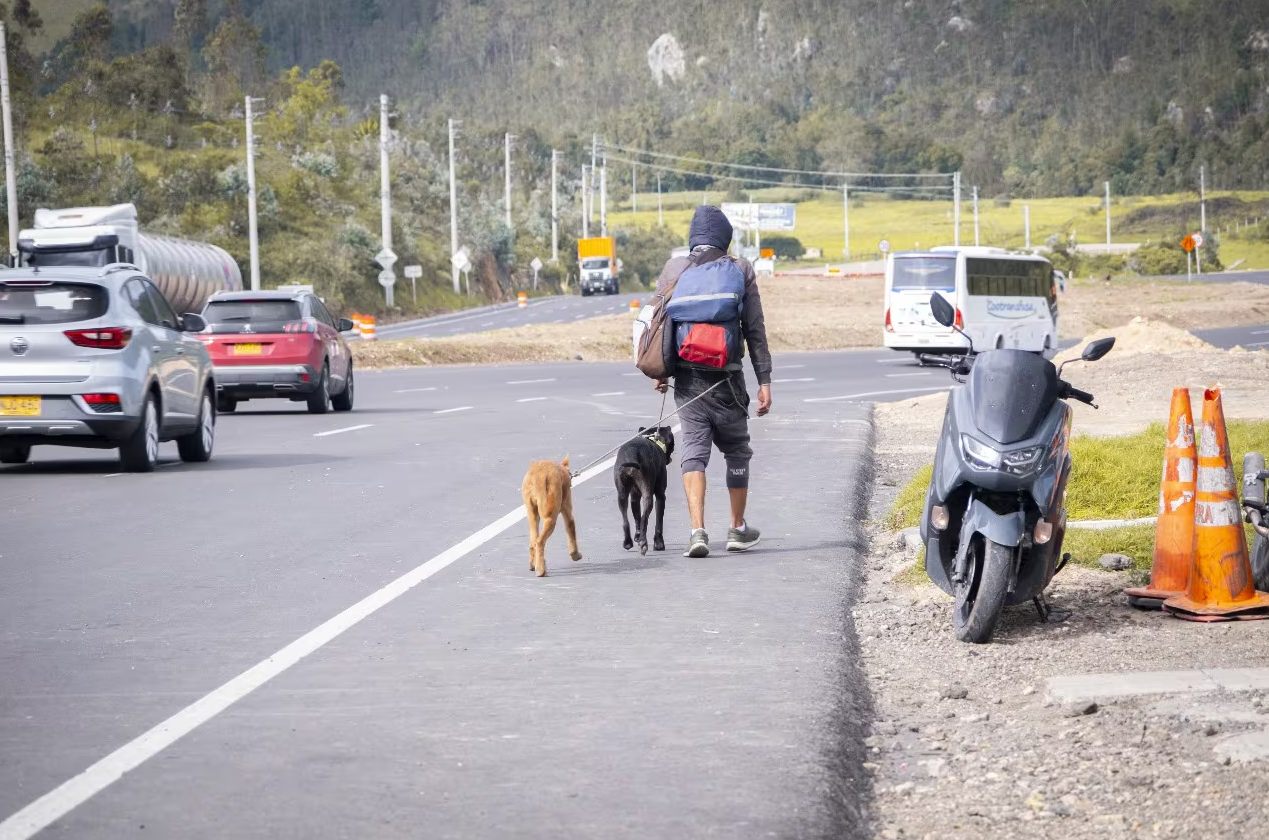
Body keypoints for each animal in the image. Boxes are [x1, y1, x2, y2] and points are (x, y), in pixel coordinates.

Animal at [611, 428, 675, 558]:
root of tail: (632, 454)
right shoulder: (661, 496)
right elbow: (658, 523)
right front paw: (659, 544)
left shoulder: (634, 497)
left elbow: (637, 518)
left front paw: (637, 536)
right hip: (648, 495)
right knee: (644, 518)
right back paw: (643, 543)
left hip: (622, 495)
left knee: (626, 521)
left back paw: (628, 542)